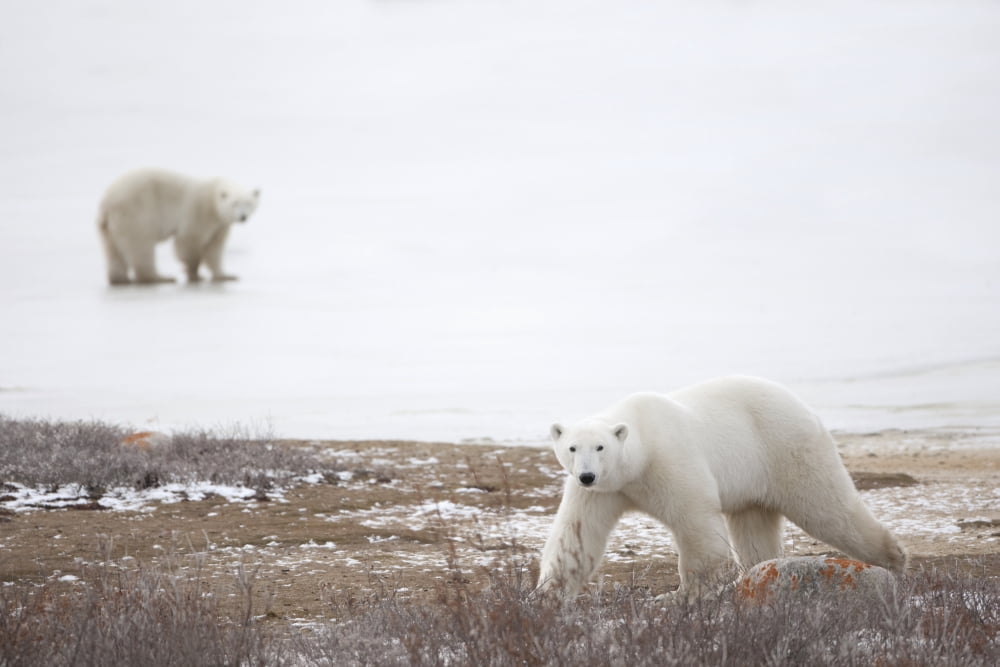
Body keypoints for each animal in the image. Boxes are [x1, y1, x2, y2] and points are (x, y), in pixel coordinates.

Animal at [97, 168, 260, 285]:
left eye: (249, 203)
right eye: (235, 203)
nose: (243, 217)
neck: (212, 199)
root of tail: (106, 203)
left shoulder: (220, 225)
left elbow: (214, 249)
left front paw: (225, 275)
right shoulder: (199, 213)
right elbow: (188, 242)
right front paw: (195, 274)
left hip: (110, 227)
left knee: (113, 250)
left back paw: (119, 279)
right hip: (135, 213)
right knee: (141, 245)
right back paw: (160, 278)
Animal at [536, 376, 907, 598]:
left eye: (600, 447)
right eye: (572, 447)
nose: (587, 475)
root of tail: (800, 404)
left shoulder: (670, 461)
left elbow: (696, 521)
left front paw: (688, 594)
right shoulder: (602, 492)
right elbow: (577, 537)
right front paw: (547, 593)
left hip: (787, 448)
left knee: (829, 509)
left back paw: (894, 559)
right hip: (755, 481)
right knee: (754, 529)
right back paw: (756, 574)